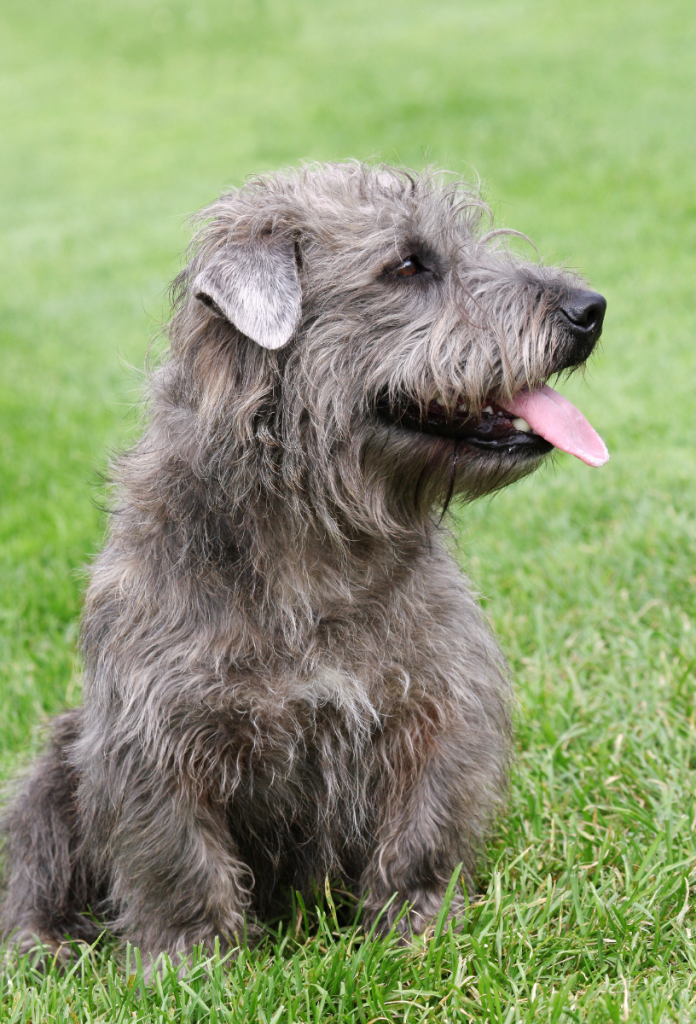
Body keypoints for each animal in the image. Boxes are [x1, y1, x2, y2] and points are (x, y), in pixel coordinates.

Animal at [0, 163, 610, 962]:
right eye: (408, 266)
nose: (589, 309)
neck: (316, 543)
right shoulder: (150, 736)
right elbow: (177, 858)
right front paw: (192, 959)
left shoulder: (440, 705)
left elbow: (423, 829)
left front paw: (417, 928)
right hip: (55, 764)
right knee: (32, 861)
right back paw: (44, 945)